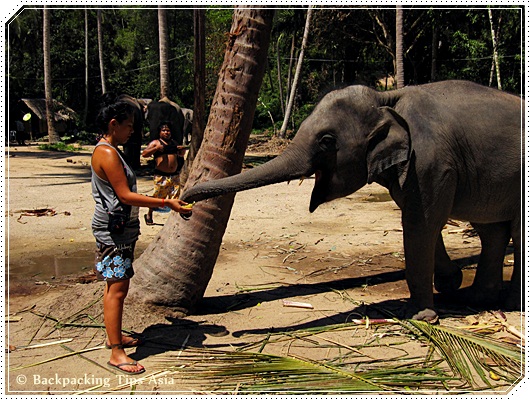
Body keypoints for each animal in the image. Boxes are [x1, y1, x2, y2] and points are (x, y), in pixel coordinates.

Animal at [180, 80, 520, 322]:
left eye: (327, 141)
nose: (185, 205)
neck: (387, 97)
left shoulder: (430, 162)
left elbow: (420, 224)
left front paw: (421, 317)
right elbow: (420, 221)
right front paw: (450, 283)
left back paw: (510, 304)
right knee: (492, 230)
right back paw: (475, 299)